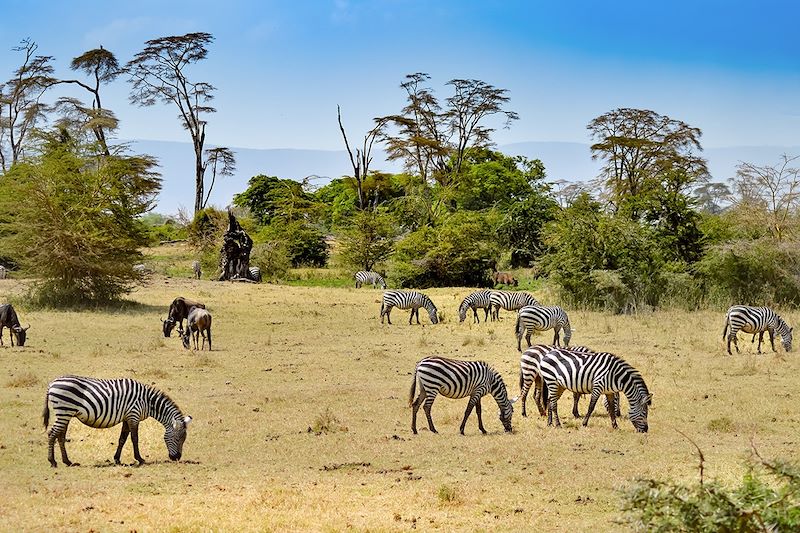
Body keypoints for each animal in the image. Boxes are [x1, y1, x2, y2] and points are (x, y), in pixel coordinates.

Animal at [43, 374, 193, 466]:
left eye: (184, 439)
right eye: (177, 439)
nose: (176, 458)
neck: (147, 401)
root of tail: (51, 384)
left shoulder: (127, 417)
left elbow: (122, 439)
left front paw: (117, 459)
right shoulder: (133, 415)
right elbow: (134, 438)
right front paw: (140, 459)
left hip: (66, 414)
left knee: (60, 436)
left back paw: (67, 461)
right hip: (63, 411)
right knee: (52, 434)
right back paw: (52, 462)